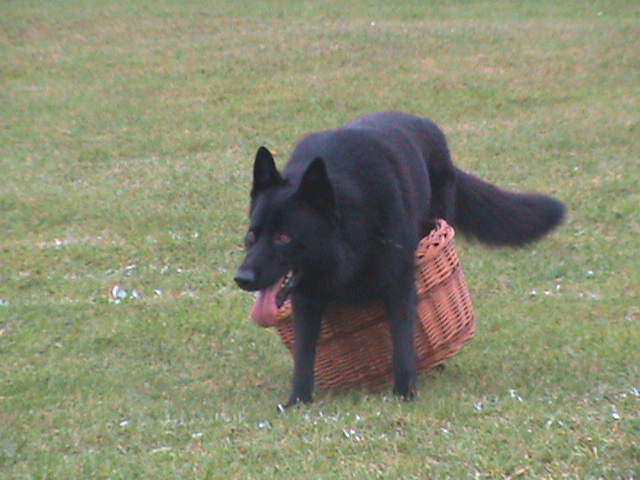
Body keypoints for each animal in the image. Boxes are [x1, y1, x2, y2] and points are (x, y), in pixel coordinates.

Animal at [235, 111, 564, 404]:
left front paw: (405, 392)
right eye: (252, 234)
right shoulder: (307, 298)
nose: (242, 278)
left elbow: (403, 341)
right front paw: (299, 400)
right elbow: (304, 352)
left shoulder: (400, 284)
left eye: (284, 237)